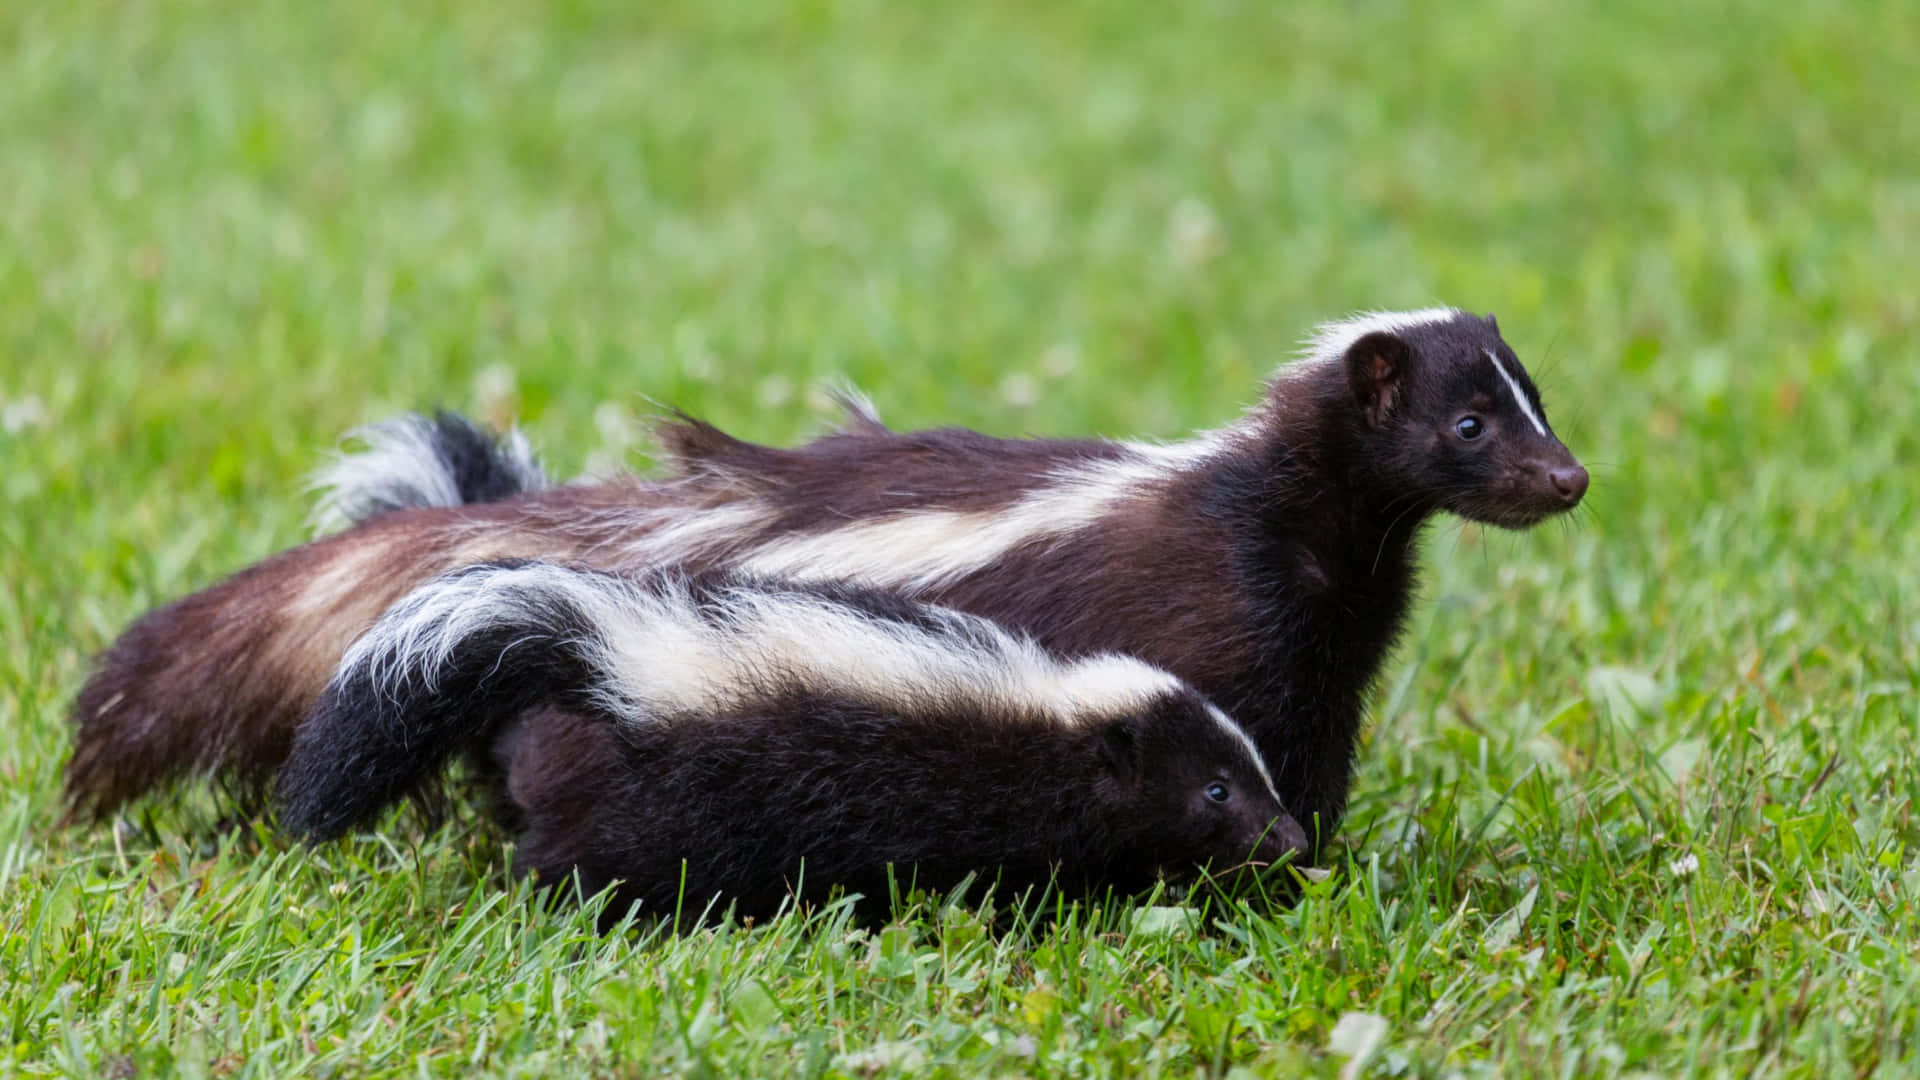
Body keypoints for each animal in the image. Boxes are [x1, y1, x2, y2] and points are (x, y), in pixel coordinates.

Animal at [67, 307, 1582, 837]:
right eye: (1468, 424)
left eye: (1535, 400)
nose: (1568, 480)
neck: (1307, 523)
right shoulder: (1218, 612)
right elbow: (1221, 741)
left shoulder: (1328, 641)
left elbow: (1308, 745)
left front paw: (1313, 857)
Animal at [274, 557, 1305, 922]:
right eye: (1216, 790)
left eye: (1251, 775)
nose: (1293, 838)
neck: (1056, 715)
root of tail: (632, 655)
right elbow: (1016, 882)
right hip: (689, 800)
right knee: (595, 853)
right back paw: (555, 898)